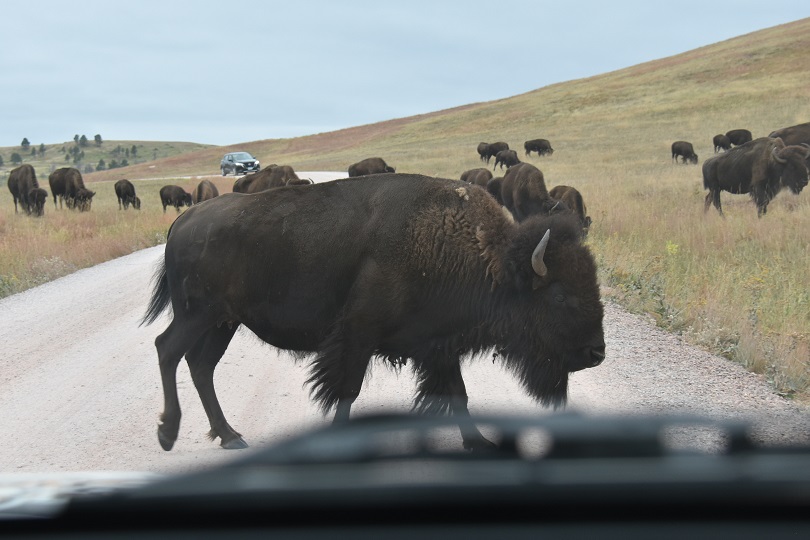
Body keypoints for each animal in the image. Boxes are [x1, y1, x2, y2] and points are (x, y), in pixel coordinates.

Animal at [140, 173, 608, 452]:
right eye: (560, 296)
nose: (596, 353)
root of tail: (183, 223)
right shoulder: (358, 335)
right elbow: (346, 391)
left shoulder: (438, 345)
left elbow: (458, 394)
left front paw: (479, 443)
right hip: (198, 315)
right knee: (167, 349)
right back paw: (167, 433)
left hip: (224, 322)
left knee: (200, 365)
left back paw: (230, 436)